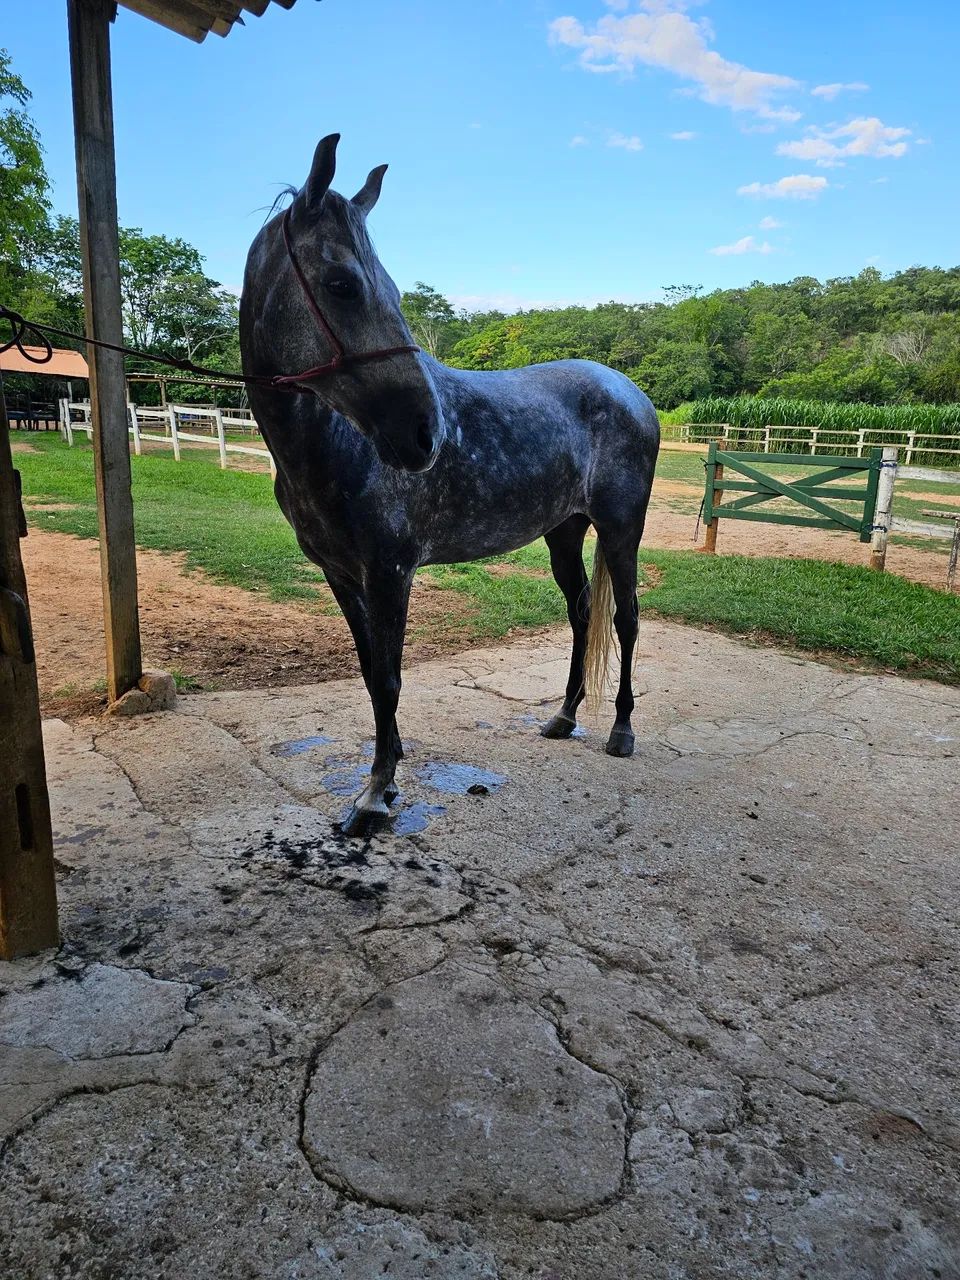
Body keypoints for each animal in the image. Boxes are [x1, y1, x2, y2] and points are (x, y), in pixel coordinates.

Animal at [240, 135, 660, 836]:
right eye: (342, 285)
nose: (424, 434)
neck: (335, 443)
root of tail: (630, 392)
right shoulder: (341, 574)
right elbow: (370, 673)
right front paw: (385, 775)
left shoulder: (391, 571)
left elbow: (388, 678)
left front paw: (375, 794)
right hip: (564, 532)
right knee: (580, 612)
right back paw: (564, 716)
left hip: (620, 530)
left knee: (623, 619)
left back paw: (621, 730)